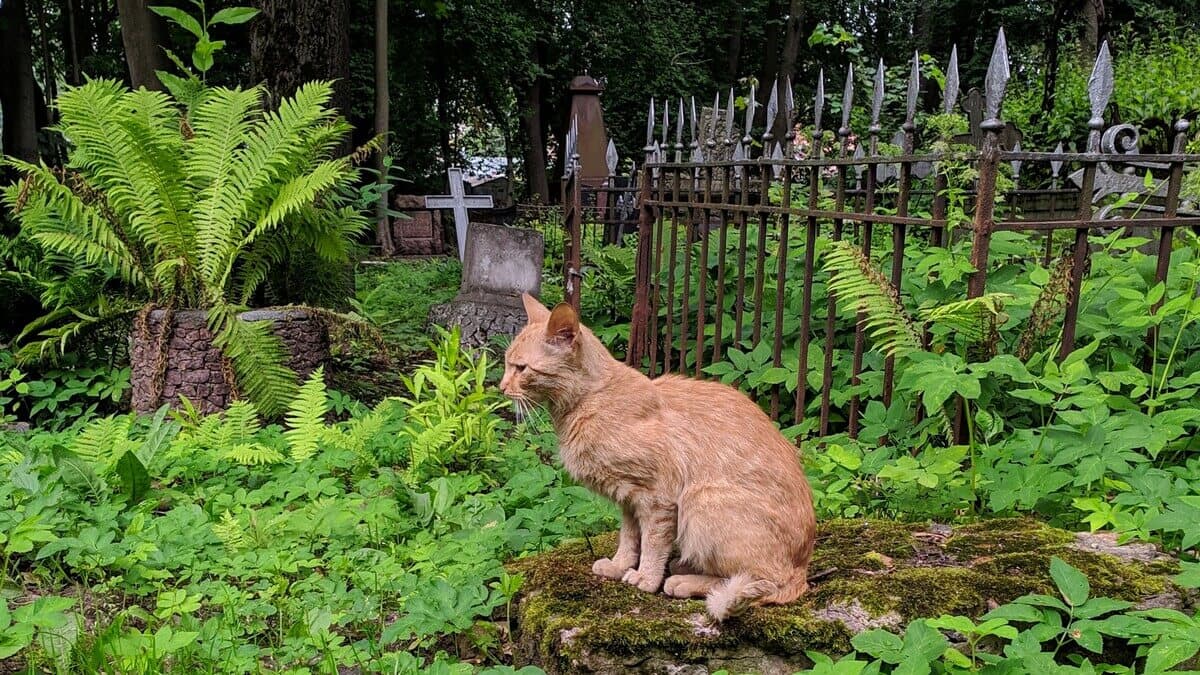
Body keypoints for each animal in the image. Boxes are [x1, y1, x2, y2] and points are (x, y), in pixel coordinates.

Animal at [496, 291, 816, 619]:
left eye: (521, 368)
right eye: (507, 364)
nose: (501, 387)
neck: (590, 401)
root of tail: (802, 567)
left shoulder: (657, 498)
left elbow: (652, 542)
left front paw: (646, 578)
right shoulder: (627, 498)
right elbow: (629, 537)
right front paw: (619, 565)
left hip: (700, 501)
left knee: (765, 583)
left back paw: (684, 581)